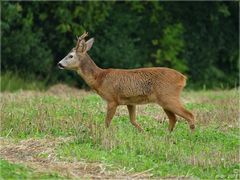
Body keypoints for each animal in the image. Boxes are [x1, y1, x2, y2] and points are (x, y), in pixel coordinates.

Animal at [57, 31, 195, 131]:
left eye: (70, 56)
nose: (59, 64)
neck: (100, 78)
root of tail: (183, 78)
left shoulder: (112, 99)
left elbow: (107, 122)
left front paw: (105, 133)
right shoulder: (130, 102)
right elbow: (133, 120)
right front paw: (143, 133)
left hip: (168, 96)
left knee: (189, 115)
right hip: (164, 100)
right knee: (173, 119)